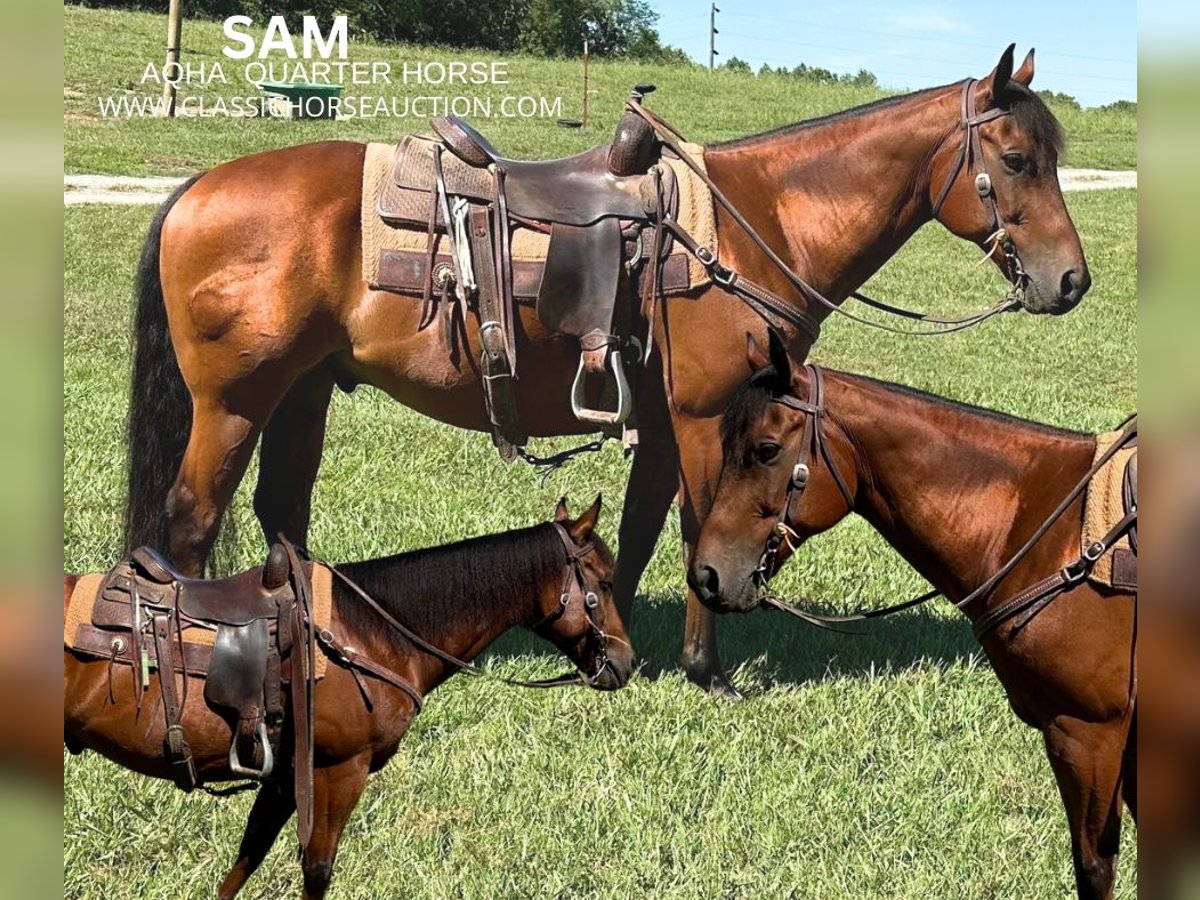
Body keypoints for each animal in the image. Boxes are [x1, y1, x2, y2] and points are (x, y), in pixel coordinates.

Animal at [66, 501, 633, 900]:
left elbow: (248, 855)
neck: (374, 633)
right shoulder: (341, 770)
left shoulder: (284, 776)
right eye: (604, 584)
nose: (626, 664)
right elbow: (316, 869)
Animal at [121, 45, 1089, 700]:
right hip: (234, 403)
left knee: (280, 512)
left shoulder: (662, 425)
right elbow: (703, 527)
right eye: (1016, 160)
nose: (1072, 281)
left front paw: (621, 645)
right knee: (192, 519)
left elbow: (639, 529)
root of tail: (197, 189)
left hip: (304, 392)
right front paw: (706, 670)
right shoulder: (705, 416)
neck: (758, 225)